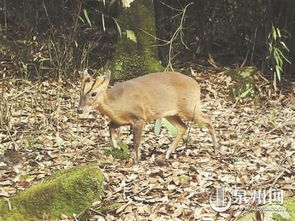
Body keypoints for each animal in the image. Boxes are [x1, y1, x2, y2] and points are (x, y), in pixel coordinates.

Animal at [77, 70, 219, 165]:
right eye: (80, 92)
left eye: (93, 93)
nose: (79, 110)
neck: (116, 104)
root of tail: (197, 85)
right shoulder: (122, 120)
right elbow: (110, 126)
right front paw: (116, 146)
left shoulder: (140, 118)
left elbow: (136, 142)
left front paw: (136, 161)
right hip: (171, 114)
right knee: (183, 127)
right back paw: (168, 152)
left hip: (189, 108)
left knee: (208, 120)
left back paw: (216, 147)